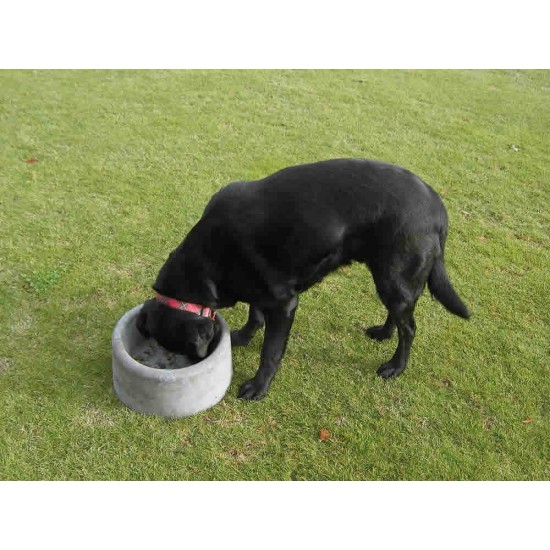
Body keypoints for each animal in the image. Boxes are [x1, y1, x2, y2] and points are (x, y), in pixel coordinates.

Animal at [137, 160, 470, 402]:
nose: (192, 364)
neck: (208, 255)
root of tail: (439, 208)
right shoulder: (259, 290)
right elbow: (254, 315)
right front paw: (241, 337)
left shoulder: (284, 302)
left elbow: (270, 351)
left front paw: (259, 386)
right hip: (386, 275)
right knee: (398, 317)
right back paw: (383, 333)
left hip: (395, 276)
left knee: (409, 327)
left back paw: (395, 367)